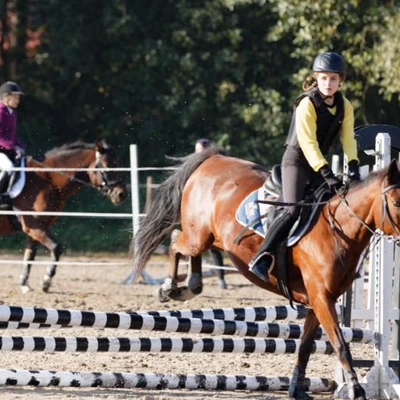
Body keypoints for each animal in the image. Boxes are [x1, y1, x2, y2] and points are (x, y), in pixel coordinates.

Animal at [1, 139, 126, 292]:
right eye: (108, 166)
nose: (122, 194)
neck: (48, 180)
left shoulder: (37, 228)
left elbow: (29, 255)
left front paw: (24, 283)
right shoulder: (34, 227)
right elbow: (57, 248)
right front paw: (46, 281)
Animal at [131, 147, 400, 400]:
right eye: (397, 203)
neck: (338, 228)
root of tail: (213, 158)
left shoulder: (320, 301)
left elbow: (305, 345)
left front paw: (296, 390)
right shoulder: (322, 299)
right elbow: (340, 344)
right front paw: (357, 390)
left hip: (210, 238)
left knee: (192, 257)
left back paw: (189, 285)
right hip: (197, 235)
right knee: (176, 241)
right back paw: (168, 287)